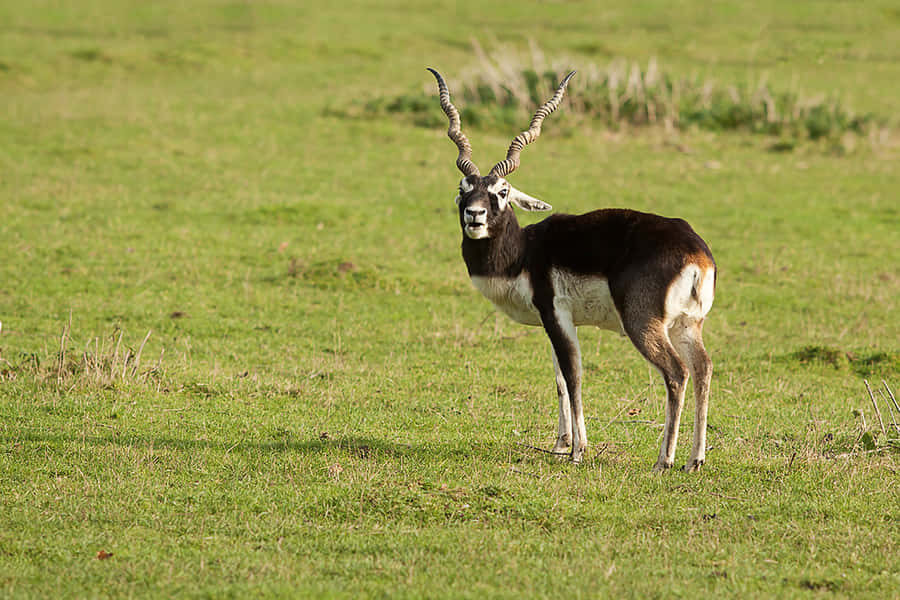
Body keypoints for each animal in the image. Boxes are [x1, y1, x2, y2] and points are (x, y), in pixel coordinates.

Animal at [427, 68, 716, 472]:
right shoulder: (555, 320)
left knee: (677, 373)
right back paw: (695, 459)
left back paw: (664, 461)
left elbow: (574, 375)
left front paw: (579, 450)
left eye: (503, 191)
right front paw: (561, 443)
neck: (524, 253)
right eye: (464, 187)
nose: (475, 215)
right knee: (703, 368)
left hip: (643, 323)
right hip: (687, 324)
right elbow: (560, 379)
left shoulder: (556, 313)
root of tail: (697, 252)